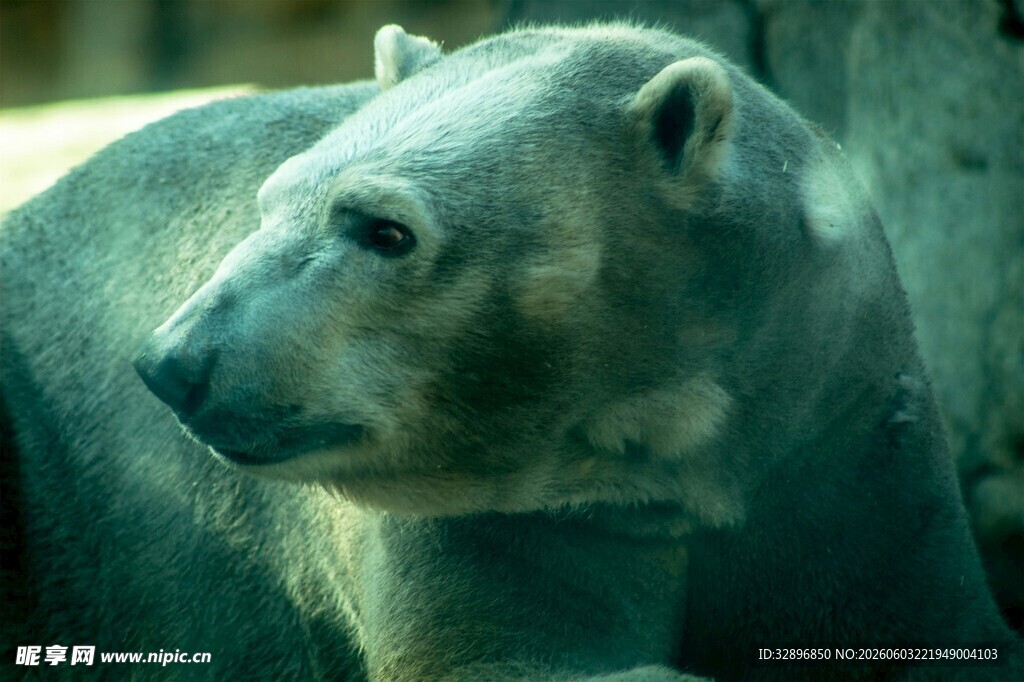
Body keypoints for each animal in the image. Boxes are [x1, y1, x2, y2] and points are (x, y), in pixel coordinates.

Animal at [2, 22, 1021, 681]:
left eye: (385, 230)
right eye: (271, 200)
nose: (175, 362)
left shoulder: (846, 455)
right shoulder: (502, 517)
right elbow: (499, 652)